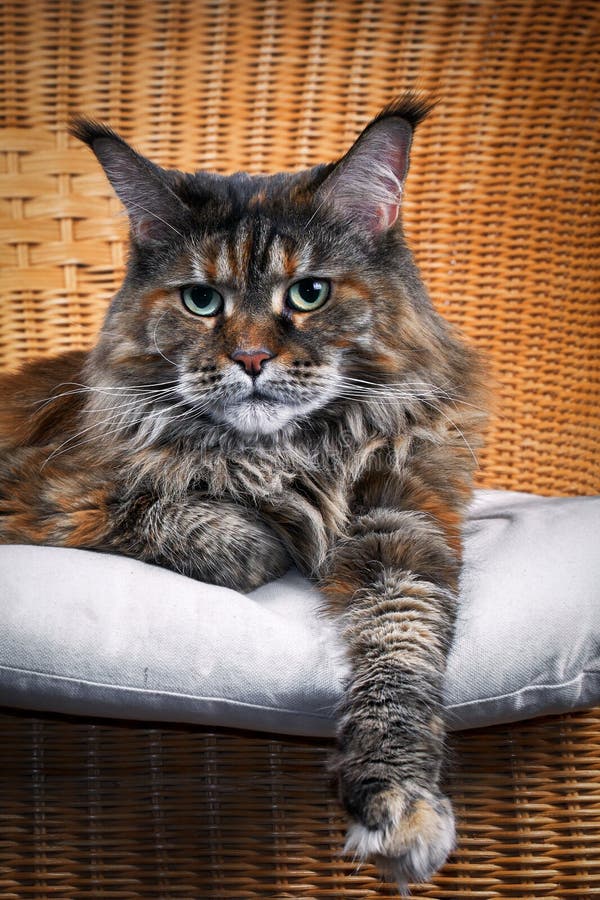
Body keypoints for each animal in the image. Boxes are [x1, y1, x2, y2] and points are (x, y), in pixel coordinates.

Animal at [0, 95, 488, 888]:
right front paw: (261, 535)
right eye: (202, 301)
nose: (252, 358)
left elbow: (402, 656)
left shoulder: (403, 526)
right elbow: (192, 522)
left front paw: (401, 802)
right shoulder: (42, 494)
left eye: (310, 293)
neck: (287, 454)